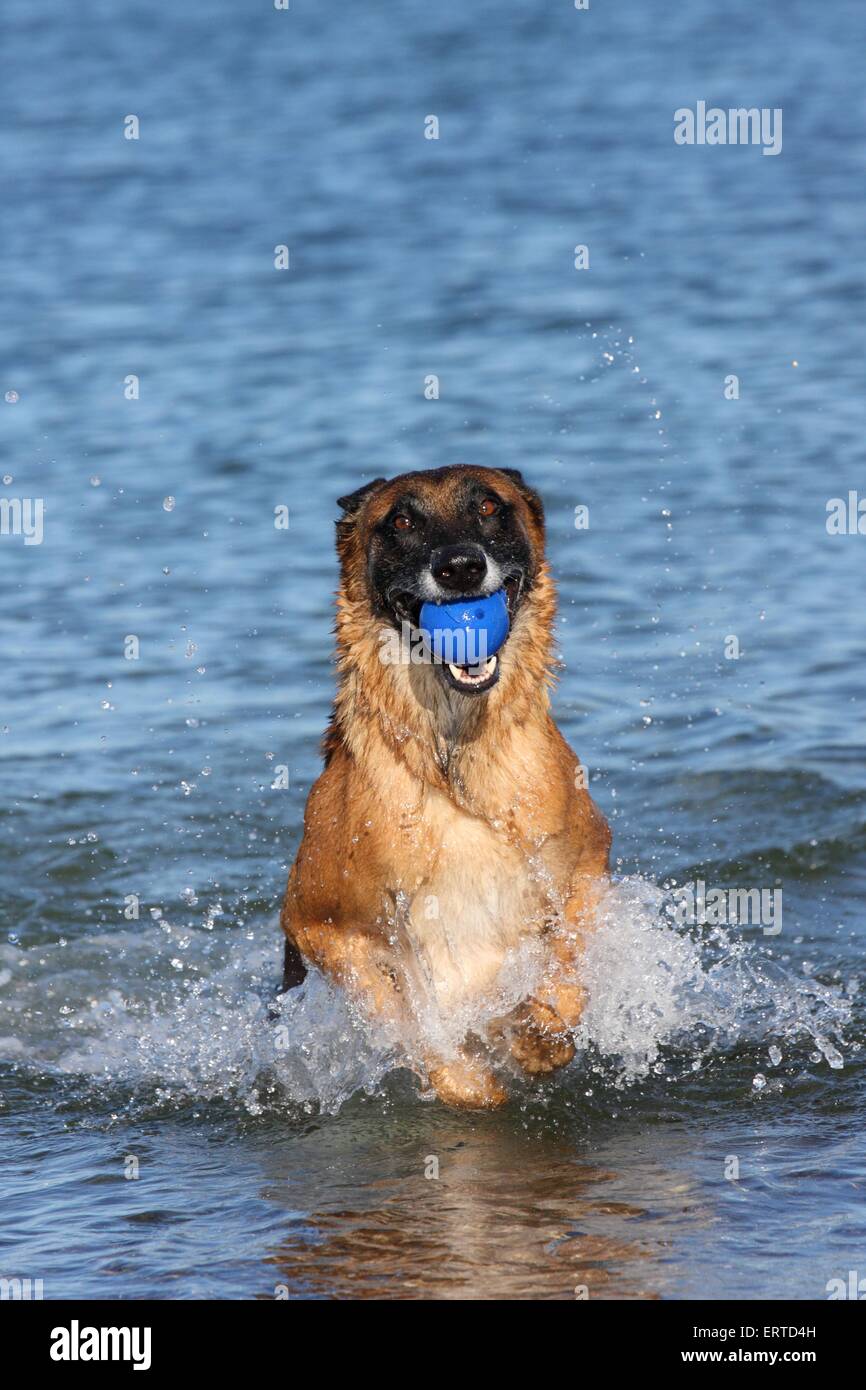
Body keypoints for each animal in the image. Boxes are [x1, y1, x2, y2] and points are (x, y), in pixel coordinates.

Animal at [278, 467, 608, 1106]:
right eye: (403, 520)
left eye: (489, 507)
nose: (460, 568)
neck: (451, 756)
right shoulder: (324, 925)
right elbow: (415, 1032)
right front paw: (478, 1080)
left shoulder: (584, 867)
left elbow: (568, 972)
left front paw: (534, 1034)